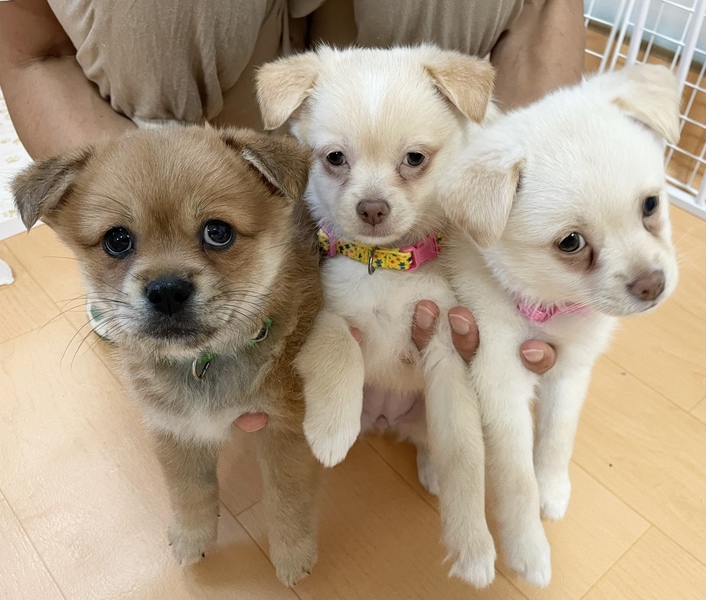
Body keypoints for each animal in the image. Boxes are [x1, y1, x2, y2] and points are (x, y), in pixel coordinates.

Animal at [12, 126, 323, 586]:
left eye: (218, 232)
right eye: (117, 240)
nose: (167, 290)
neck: (203, 362)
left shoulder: (285, 428)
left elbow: (288, 498)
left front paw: (292, 553)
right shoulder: (173, 429)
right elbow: (189, 492)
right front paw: (192, 538)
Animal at [257, 45, 499, 587]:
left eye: (415, 159)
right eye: (334, 158)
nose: (371, 207)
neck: (385, 265)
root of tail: (387, 419)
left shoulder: (444, 347)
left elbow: (465, 455)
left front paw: (473, 546)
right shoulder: (317, 313)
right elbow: (341, 345)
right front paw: (331, 430)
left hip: (423, 410)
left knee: (433, 440)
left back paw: (430, 468)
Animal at [439, 64, 681, 587]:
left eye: (651, 205)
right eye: (571, 242)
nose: (653, 285)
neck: (551, 307)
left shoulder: (570, 370)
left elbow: (557, 437)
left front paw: (552, 488)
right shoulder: (500, 377)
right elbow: (516, 478)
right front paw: (528, 548)